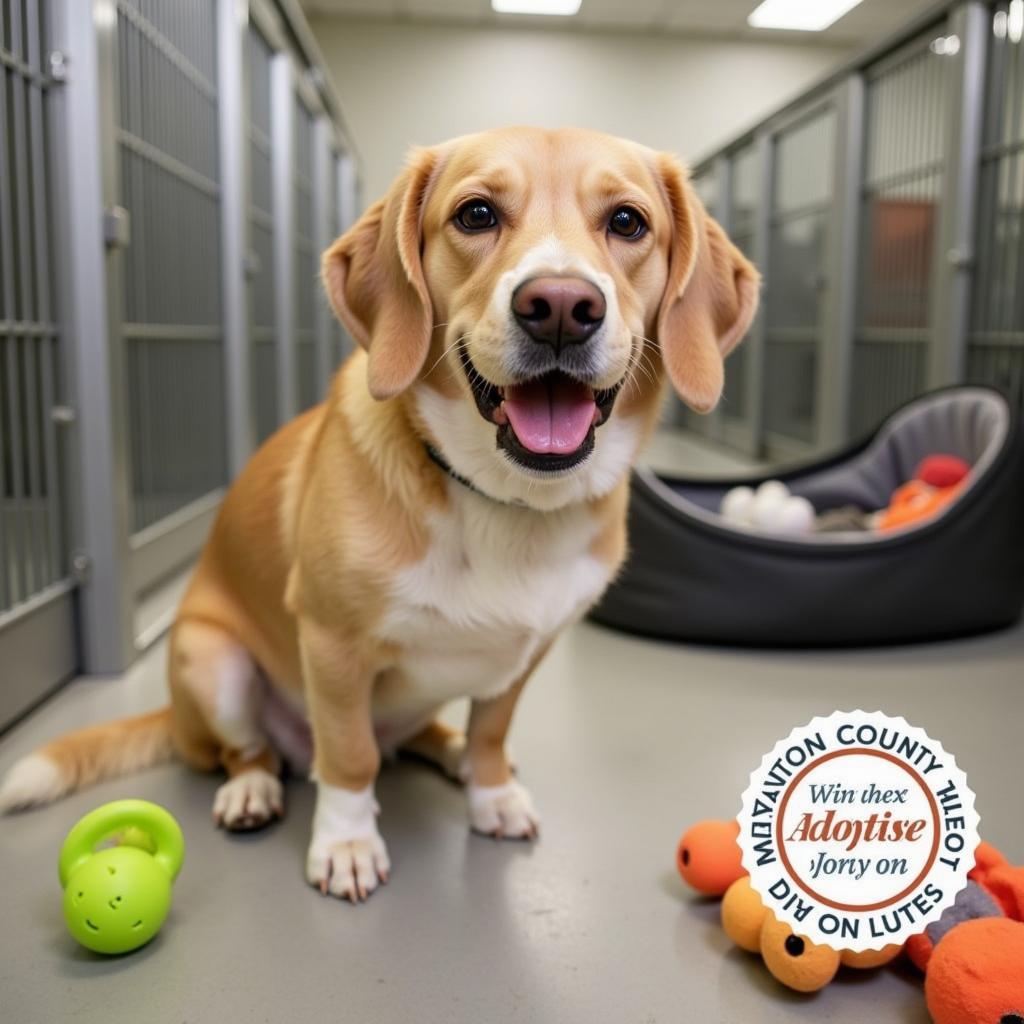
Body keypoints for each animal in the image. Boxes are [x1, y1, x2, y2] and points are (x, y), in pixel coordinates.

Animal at [0, 123, 753, 901]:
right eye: (476, 214)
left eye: (628, 222)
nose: (561, 306)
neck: (503, 499)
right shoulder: (333, 645)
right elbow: (349, 755)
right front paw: (347, 842)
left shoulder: (530, 652)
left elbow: (491, 731)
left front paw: (489, 791)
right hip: (216, 664)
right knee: (254, 750)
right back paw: (252, 789)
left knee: (426, 735)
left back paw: (453, 757)